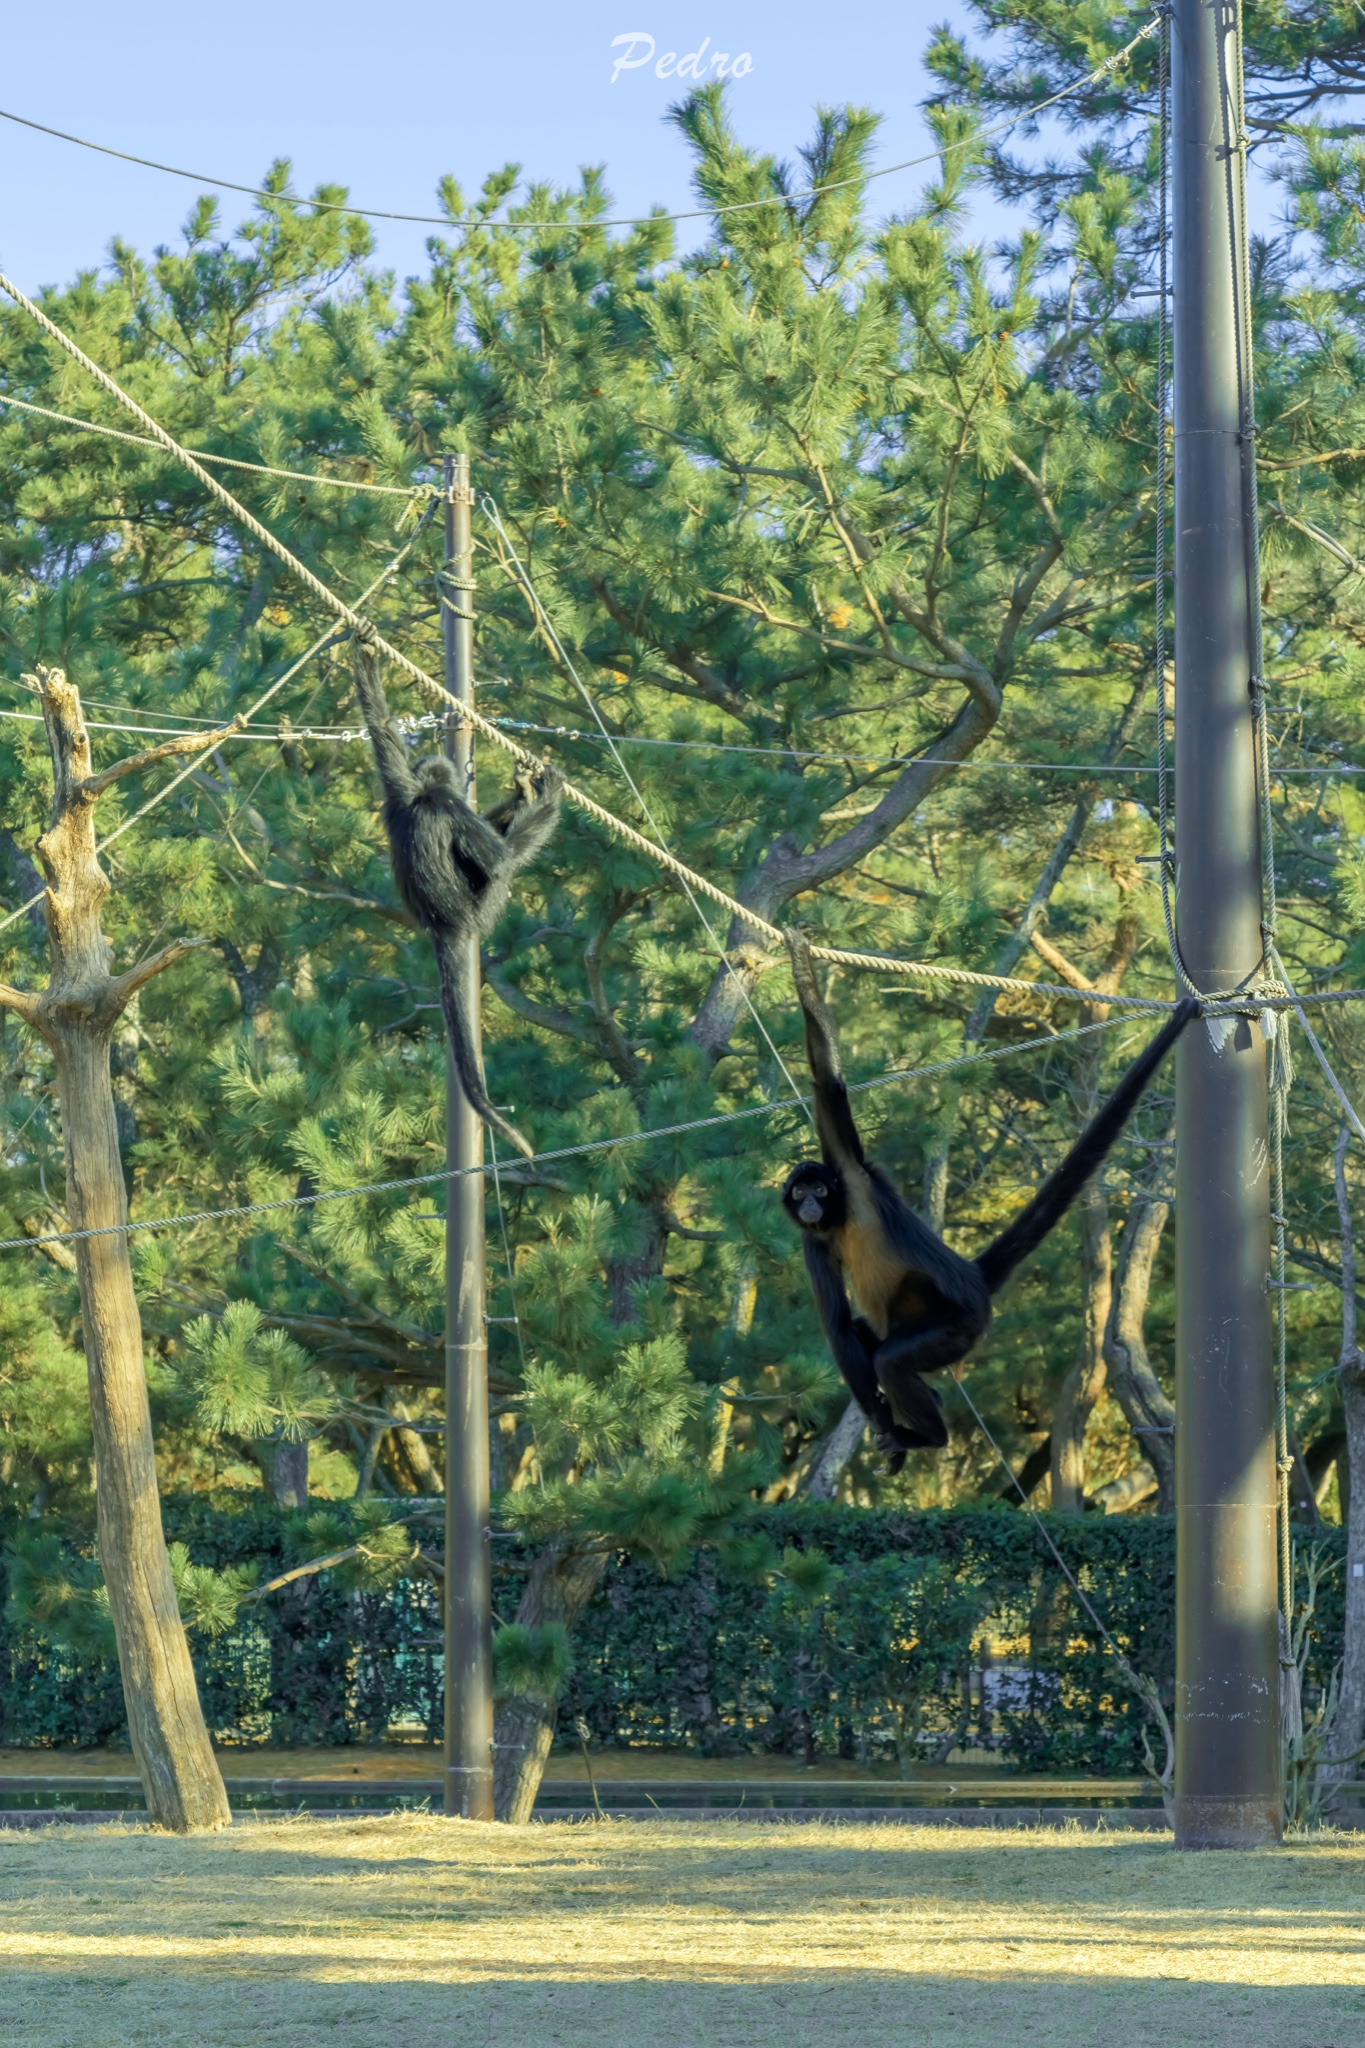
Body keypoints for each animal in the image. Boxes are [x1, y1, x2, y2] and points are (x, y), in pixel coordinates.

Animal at [358, 630, 564, 1163]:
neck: (422, 795)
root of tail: (443, 923)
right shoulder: (446, 804)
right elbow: (499, 859)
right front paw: (544, 795)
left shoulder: (398, 788)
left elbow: (382, 735)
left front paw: (362, 655)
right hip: (482, 908)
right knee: (501, 871)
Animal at [777, 929, 1195, 1474]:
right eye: (800, 1191)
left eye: (819, 1189)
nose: (809, 1202)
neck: (841, 1215)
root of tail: (973, 1277)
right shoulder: (814, 1241)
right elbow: (840, 1328)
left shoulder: (851, 1173)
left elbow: (828, 1084)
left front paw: (801, 968)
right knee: (871, 1341)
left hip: (961, 1323)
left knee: (890, 1359)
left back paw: (928, 1437)